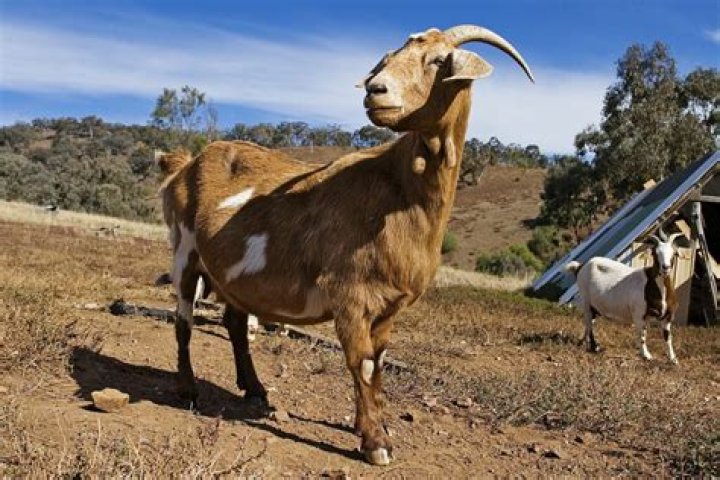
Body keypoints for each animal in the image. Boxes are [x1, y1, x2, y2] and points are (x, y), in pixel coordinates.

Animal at [163, 25, 533, 465]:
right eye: (387, 59)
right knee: (183, 320)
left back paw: (255, 389)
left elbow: (380, 363)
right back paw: (188, 390)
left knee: (235, 322)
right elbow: (363, 364)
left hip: (231, 274)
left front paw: (369, 425)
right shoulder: (350, 295)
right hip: (184, 249)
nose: (376, 90)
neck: (399, 193)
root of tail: (186, 163)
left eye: (439, 61)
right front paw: (376, 443)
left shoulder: (390, 306)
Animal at [564, 231, 683, 364]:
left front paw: (673, 359)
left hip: (594, 306)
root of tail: (580, 266)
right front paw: (646, 355)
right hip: (586, 300)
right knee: (589, 324)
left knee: (590, 322)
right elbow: (642, 335)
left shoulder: (668, 317)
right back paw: (595, 347)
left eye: (674, 253)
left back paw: (584, 342)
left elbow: (668, 338)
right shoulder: (639, 314)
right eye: (655, 253)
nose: (665, 267)